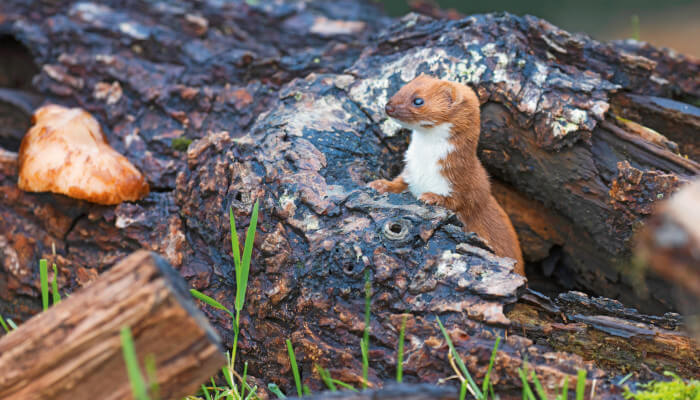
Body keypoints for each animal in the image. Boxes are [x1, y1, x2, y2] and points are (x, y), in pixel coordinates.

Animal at [366, 75, 524, 276]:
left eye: (418, 100)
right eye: (403, 88)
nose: (388, 106)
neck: (425, 164)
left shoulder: (463, 181)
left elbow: (458, 201)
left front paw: (431, 197)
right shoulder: (411, 172)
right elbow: (399, 183)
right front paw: (380, 184)